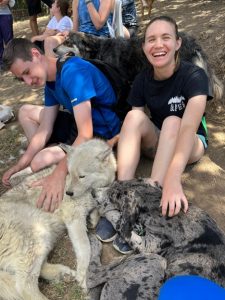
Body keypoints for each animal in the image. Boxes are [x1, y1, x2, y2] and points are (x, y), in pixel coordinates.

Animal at [0, 139, 116, 300]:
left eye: (81, 176)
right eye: (70, 173)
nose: (68, 193)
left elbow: (98, 209)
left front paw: (93, 218)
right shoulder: (74, 219)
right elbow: (85, 247)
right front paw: (84, 275)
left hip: (44, 237)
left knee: (35, 271)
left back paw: (62, 274)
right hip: (37, 231)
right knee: (23, 286)